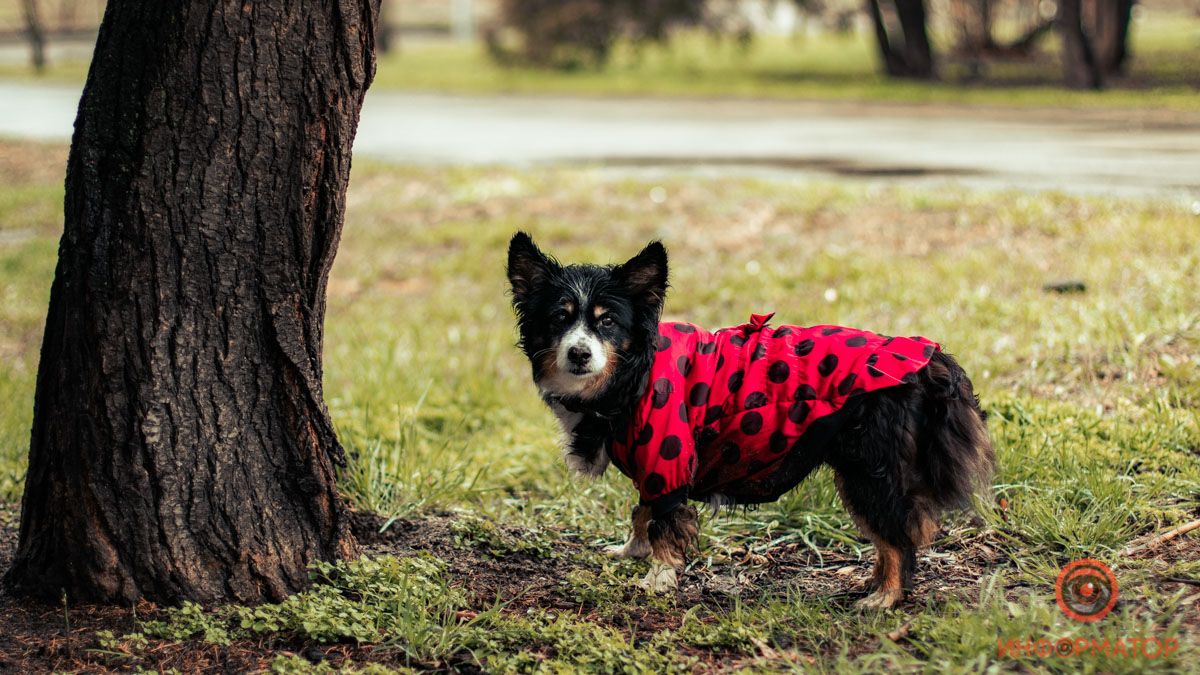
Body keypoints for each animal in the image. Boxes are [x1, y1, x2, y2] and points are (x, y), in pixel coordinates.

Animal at [506, 229, 993, 605]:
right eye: (559, 318)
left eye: (607, 322)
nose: (579, 353)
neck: (631, 374)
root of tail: (927, 356)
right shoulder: (654, 467)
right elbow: (641, 511)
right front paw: (631, 551)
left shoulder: (668, 455)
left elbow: (665, 523)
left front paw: (658, 577)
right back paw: (870, 583)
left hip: (869, 469)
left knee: (897, 537)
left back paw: (885, 597)